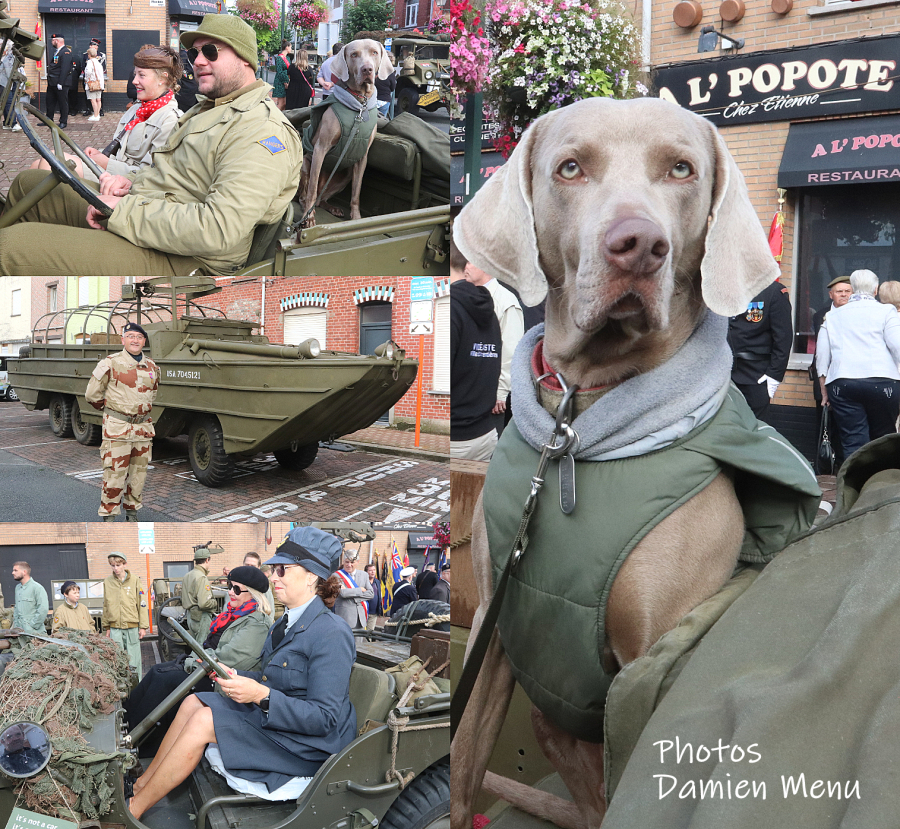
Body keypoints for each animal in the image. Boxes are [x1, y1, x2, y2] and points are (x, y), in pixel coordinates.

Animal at [298, 38, 392, 226]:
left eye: (374, 52)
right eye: (354, 54)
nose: (367, 69)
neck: (360, 103)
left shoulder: (363, 156)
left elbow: (357, 191)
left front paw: (356, 218)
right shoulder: (321, 148)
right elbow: (311, 188)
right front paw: (309, 218)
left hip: (344, 175)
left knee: (321, 199)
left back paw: (332, 208)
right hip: (305, 163)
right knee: (307, 195)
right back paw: (306, 209)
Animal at [450, 98, 780, 828]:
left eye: (682, 169)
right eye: (570, 168)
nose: (639, 244)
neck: (577, 415)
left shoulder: (650, 667)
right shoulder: (492, 622)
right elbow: (461, 767)